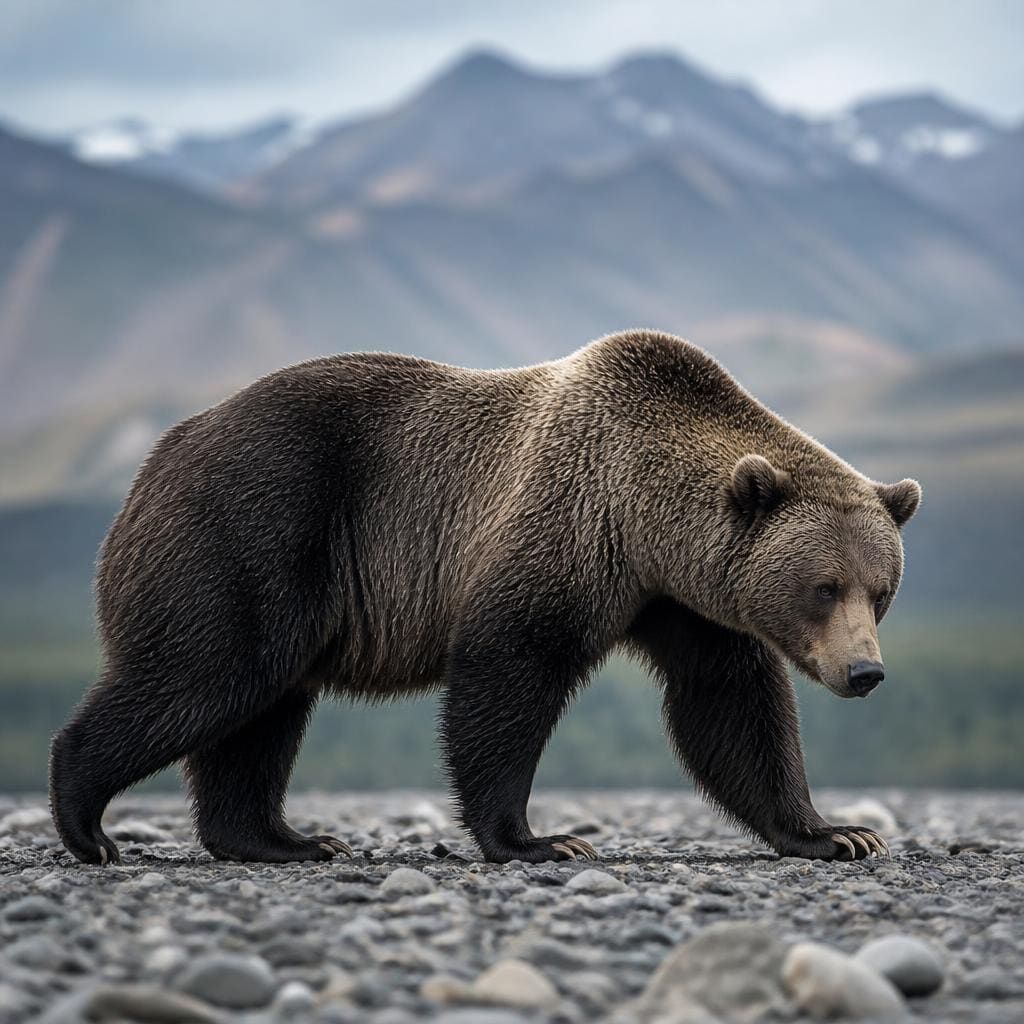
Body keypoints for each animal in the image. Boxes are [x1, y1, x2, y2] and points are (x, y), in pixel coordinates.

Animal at [49, 329, 921, 866]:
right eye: (823, 587)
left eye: (879, 592)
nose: (865, 673)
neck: (646, 522)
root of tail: (158, 456)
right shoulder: (565, 529)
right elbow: (509, 674)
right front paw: (540, 840)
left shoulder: (682, 601)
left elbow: (729, 704)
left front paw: (836, 833)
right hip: (251, 528)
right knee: (208, 675)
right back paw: (87, 824)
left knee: (262, 711)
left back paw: (283, 839)